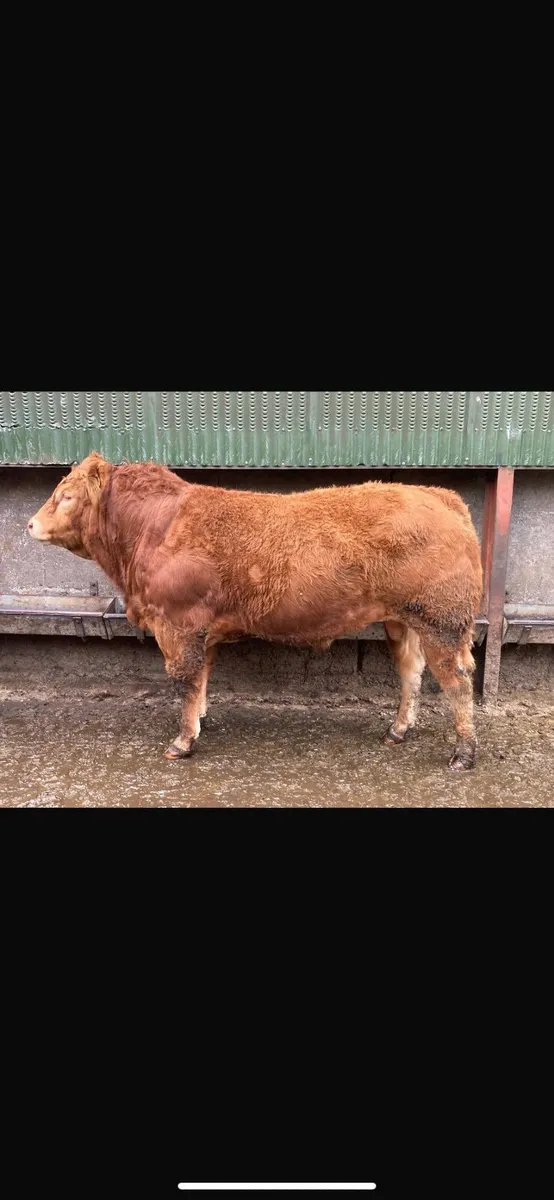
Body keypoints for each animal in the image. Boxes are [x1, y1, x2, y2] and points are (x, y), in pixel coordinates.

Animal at [27, 452, 483, 770]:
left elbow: (186, 680)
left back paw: (463, 754)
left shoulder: (178, 624)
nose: (30, 524)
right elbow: (203, 677)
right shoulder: (202, 629)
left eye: (66, 496)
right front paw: (201, 719)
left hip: (442, 620)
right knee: (411, 672)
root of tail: (437, 495)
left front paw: (183, 740)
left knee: (457, 681)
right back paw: (398, 730)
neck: (154, 528)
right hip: (403, 620)